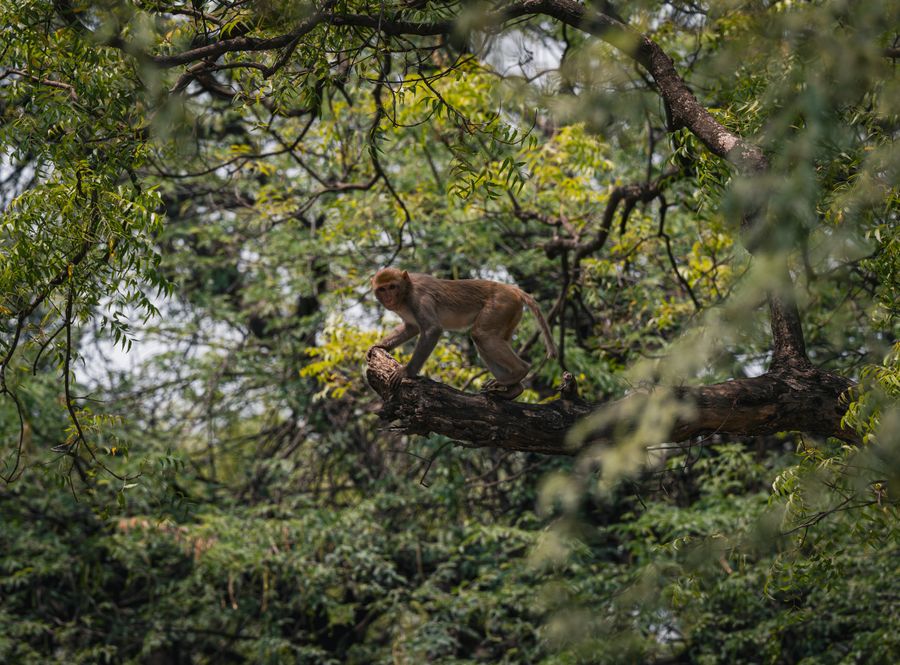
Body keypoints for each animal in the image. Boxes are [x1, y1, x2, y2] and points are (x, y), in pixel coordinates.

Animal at [370, 268, 557, 400]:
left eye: (392, 287)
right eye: (382, 289)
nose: (388, 297)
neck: (406, 292)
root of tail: (512, 289)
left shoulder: (419, 298)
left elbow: (432, 330)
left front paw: (406, 372)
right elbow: (412, 327)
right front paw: (381, 345)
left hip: (502, 304)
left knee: (481, 335)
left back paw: (519, 371)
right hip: (511, 312)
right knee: (485, 338)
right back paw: (514, 389)